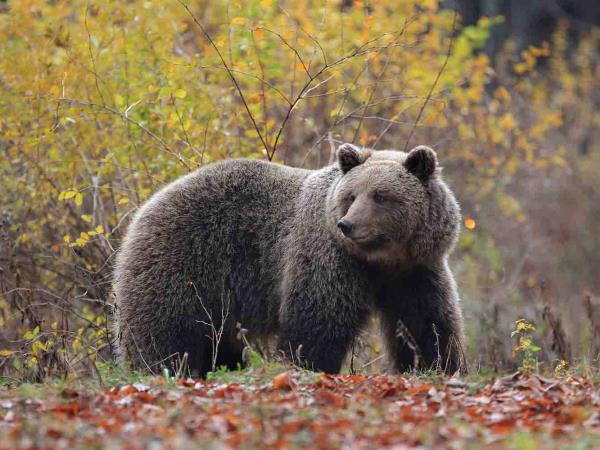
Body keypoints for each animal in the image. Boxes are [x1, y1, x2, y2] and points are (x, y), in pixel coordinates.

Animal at [113, 144, 468, 376]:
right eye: (351, 196)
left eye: (381, 196)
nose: (347, 225)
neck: (380, 260)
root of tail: (144, 209)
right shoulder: (329, 259)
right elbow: (317, 321)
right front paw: (309, 366)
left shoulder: (415, 271)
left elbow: (428, 322)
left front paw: (439, 365)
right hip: (184, 262)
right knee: (164, 331)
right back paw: (158, 369)